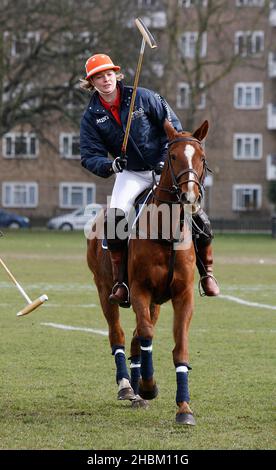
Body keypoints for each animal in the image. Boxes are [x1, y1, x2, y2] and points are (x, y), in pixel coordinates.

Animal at [87, 119, 209, 424]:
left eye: (202, 158)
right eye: (173, 156)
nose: (190, 196)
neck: (166, 230)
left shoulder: (182, 295)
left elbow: (178, 347)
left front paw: (184, 408)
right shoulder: (140, 289)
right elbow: (145, 334)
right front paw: (148, 386)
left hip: (155, 302)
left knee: (135, 335)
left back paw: (136, 386)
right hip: (105, 289)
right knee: (119, 334)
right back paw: (127, 386)